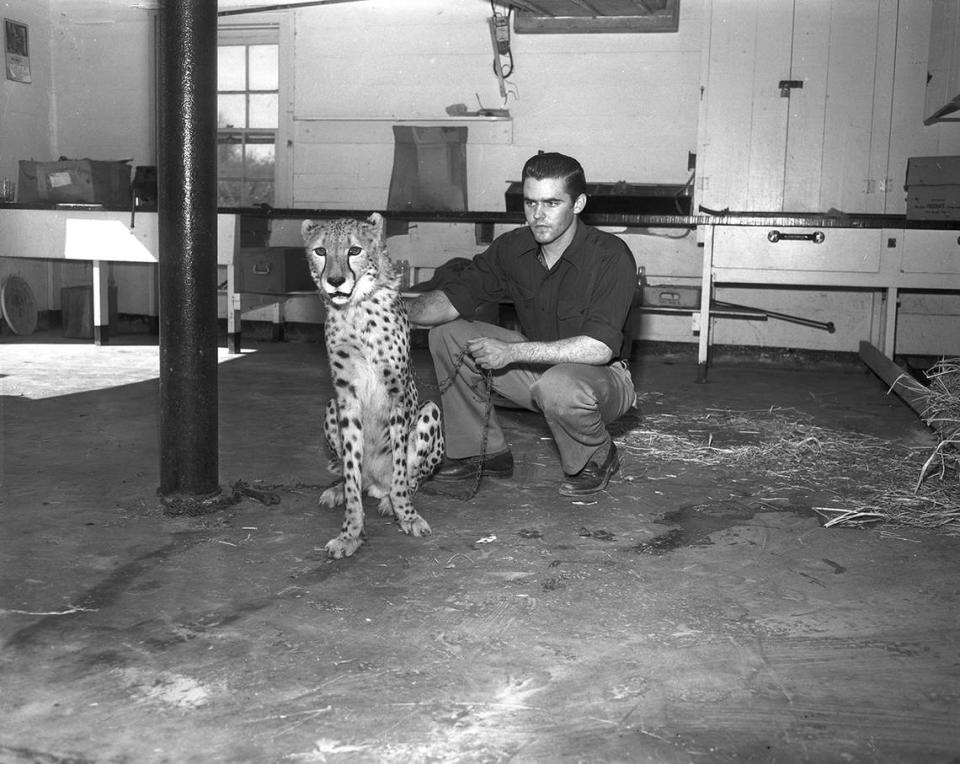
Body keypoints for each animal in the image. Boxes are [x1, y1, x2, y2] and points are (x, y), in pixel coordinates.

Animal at [302, 212, 444, 560]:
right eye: (321, 251)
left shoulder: (396, 395)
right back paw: (339, 489)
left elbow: (401, 467)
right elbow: (352, 471)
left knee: (410, 477)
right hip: (330, 407)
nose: (335, 281)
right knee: (357, 477)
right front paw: (350, 533)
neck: (355, 309)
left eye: (354, 250)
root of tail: (376, 481)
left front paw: (407, 515)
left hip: (430, 412)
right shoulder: (346, 397)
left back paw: (390, 499)